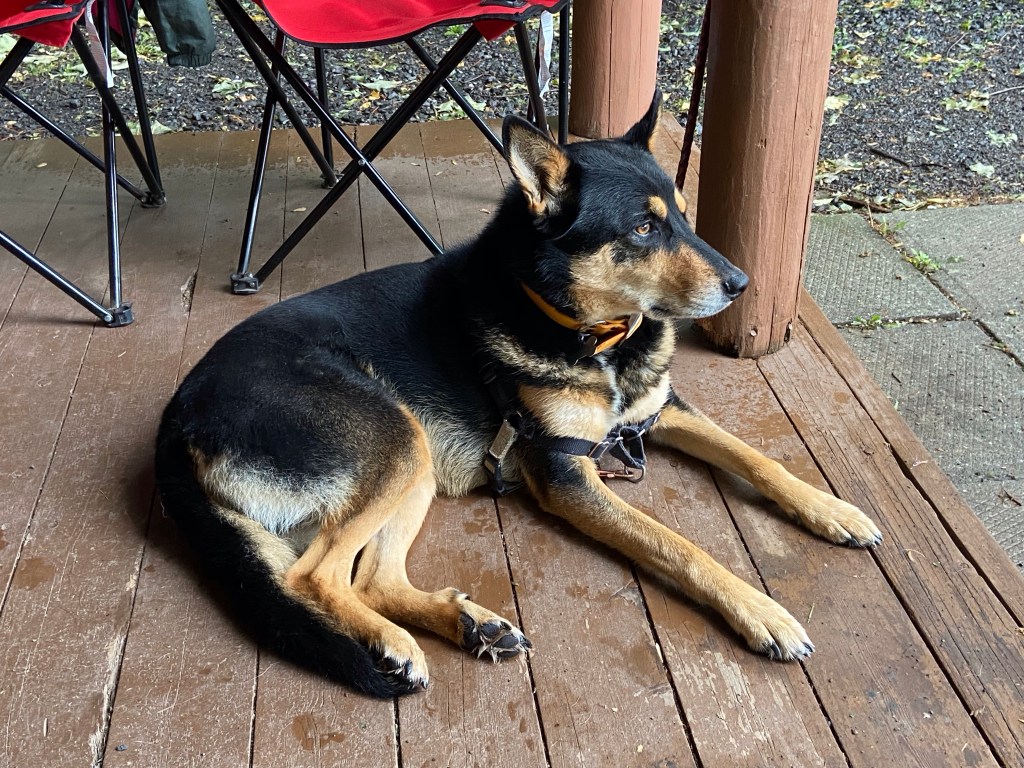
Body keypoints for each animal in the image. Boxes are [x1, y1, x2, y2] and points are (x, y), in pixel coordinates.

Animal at [155, 91, 882, 698]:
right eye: (643, 229)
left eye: (679, 213)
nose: (742, 283)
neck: (594, 335)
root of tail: (178, 410)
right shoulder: (566, 473)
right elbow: (677, 543)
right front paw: (760, 611)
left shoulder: (659, 413)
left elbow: (756, 457)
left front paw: (831, 510)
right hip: (395, 439)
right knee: (313, 576)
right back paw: (395, 643)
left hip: (414, 463)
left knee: (373, 580)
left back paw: (467, 625)